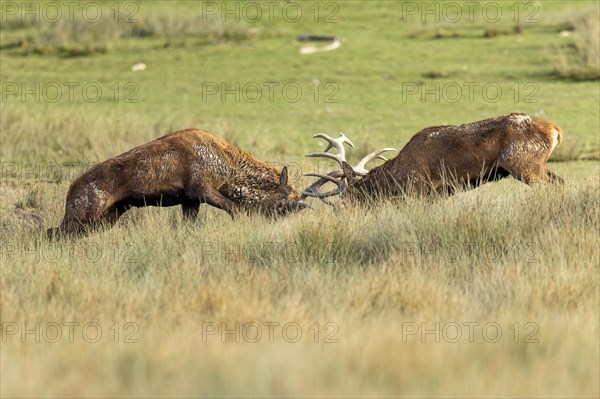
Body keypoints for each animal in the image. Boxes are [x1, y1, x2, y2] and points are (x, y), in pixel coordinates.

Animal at [48, 130, 308, 239]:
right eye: (282, 205)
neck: (227, 165)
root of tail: (71, 191)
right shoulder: (200, 189)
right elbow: (235, 208)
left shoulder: (190, 201)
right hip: (85, 215)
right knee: (53, 232)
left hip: (107, 217)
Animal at [302, 113, 564, 205]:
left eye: (347, 203)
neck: (398, 176)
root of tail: (555, 130)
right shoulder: (437, 194)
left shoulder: (420, 189)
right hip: (536, 164)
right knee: (561, 181)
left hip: (523, 163)